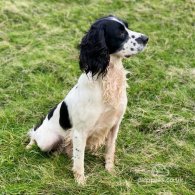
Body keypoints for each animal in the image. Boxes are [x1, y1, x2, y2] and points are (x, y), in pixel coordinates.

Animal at [25, 15, 148, 184]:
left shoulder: (114, 124)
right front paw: (80, 182)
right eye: (120, 33)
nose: (146, 38)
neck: (107, 79)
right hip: (47, 140)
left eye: (127, 27)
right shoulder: (79, 132)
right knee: (35, 135)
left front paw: (110, 171)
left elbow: (110, 150)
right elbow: (79, 161)